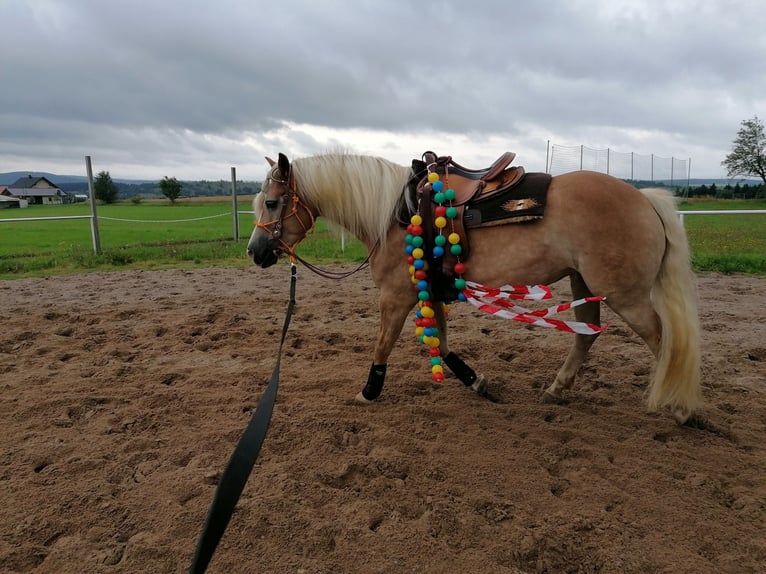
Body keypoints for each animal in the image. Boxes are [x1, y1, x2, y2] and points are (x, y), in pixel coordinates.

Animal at [249, 151, 704, 426]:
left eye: (271, 203)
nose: (255, 251)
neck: (397, 213)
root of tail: (645, 200)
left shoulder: (396, 296)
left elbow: (383, 345)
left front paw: (368, 392)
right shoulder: (430, 290)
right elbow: (444, 345)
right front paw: (477, 381)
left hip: (625, 295)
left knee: (663, 341)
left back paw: (682, 408)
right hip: (585, 282)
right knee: (586, 333)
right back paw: (556, 390)